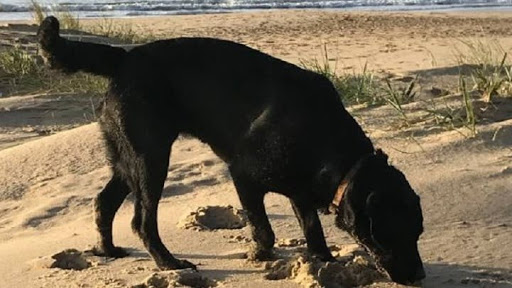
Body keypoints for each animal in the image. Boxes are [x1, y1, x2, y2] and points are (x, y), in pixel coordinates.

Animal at [38, 15, 426, 284]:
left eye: (419, 231)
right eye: (393, 232)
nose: (420, 276)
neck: (328, 143)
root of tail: (123, 58)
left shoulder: (300, 190)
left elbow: (313, 230)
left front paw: (325, 263)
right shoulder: (244, 175)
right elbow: (264, 229)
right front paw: (259, 254)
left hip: (128, 158)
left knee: (104, 201)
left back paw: (107, 250)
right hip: (151, 158)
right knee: (142, 221)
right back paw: (169, 264)